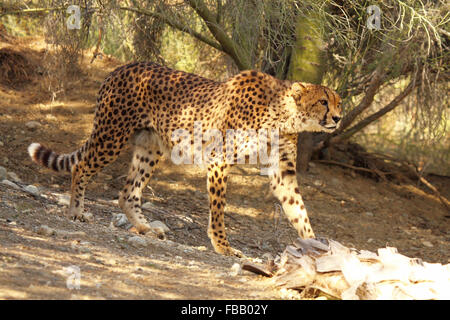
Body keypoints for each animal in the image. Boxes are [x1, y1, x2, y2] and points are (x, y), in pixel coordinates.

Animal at [28, 62, 342, 258]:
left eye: (338, 103)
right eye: (323, 101)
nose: (338, 118)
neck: (284, 115)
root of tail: (121, 67)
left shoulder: (282, 172)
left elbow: (299, 210)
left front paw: (316, 247)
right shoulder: (219, 160)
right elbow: (219, 210)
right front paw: (223, 246)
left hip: (150, 147)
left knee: (128, 192)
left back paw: (146, 227)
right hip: (112, 135)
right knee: (81, 167)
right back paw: (76, 211)